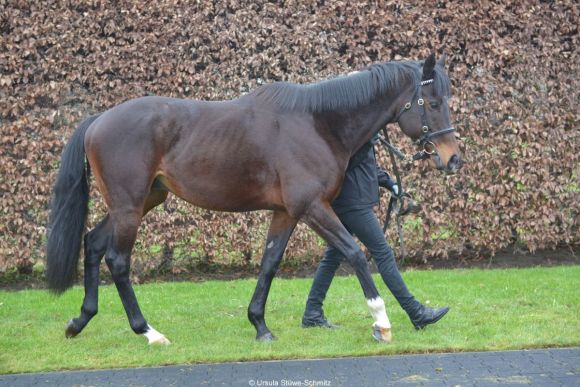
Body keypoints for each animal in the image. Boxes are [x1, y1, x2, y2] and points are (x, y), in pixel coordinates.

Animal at [46, 54, 462, 346]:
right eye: (433, 101)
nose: (453, 158)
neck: (318, 123)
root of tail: (98, 120)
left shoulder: (286, 212)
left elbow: (269, 263)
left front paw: (260, 325)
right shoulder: (312, 207)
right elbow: (356, 253)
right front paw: (382, 322)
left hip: (142, 201)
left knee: (93, 244)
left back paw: (79, 321)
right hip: (129, 207)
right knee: (117, 260)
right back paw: (148, 332)